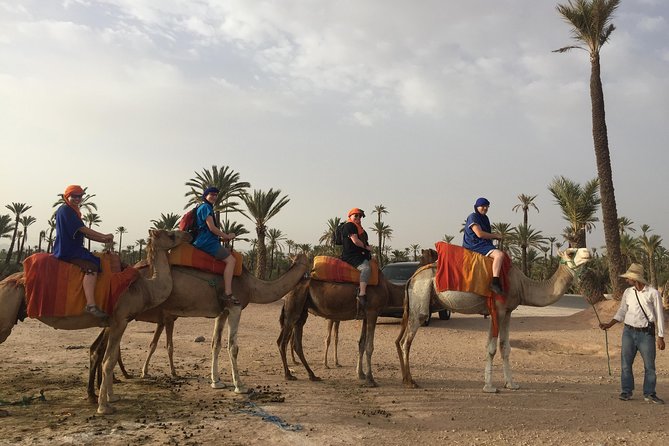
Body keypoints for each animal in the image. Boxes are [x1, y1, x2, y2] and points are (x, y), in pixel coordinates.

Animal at [0, 230, 190, 414]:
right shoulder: (120, 321)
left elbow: (109, 358)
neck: (143, 289)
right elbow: (108, 362)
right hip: (6, 315)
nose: (187, 234)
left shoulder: (113, 323)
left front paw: (111, 397)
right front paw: (104, 407)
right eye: (171, 235)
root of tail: (6, 282)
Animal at [396, 244, 588, 394]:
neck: (521, 284)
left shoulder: (508, 311)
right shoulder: (498, 309)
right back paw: (411, 382)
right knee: (407, 340)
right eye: (571, 252)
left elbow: (505, 347)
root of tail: (412, 278)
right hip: (420, 298)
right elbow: (491, 348)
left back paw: (405, 379)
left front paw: (511, 384)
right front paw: (489, 387)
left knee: (400, 340)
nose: (588, 252)